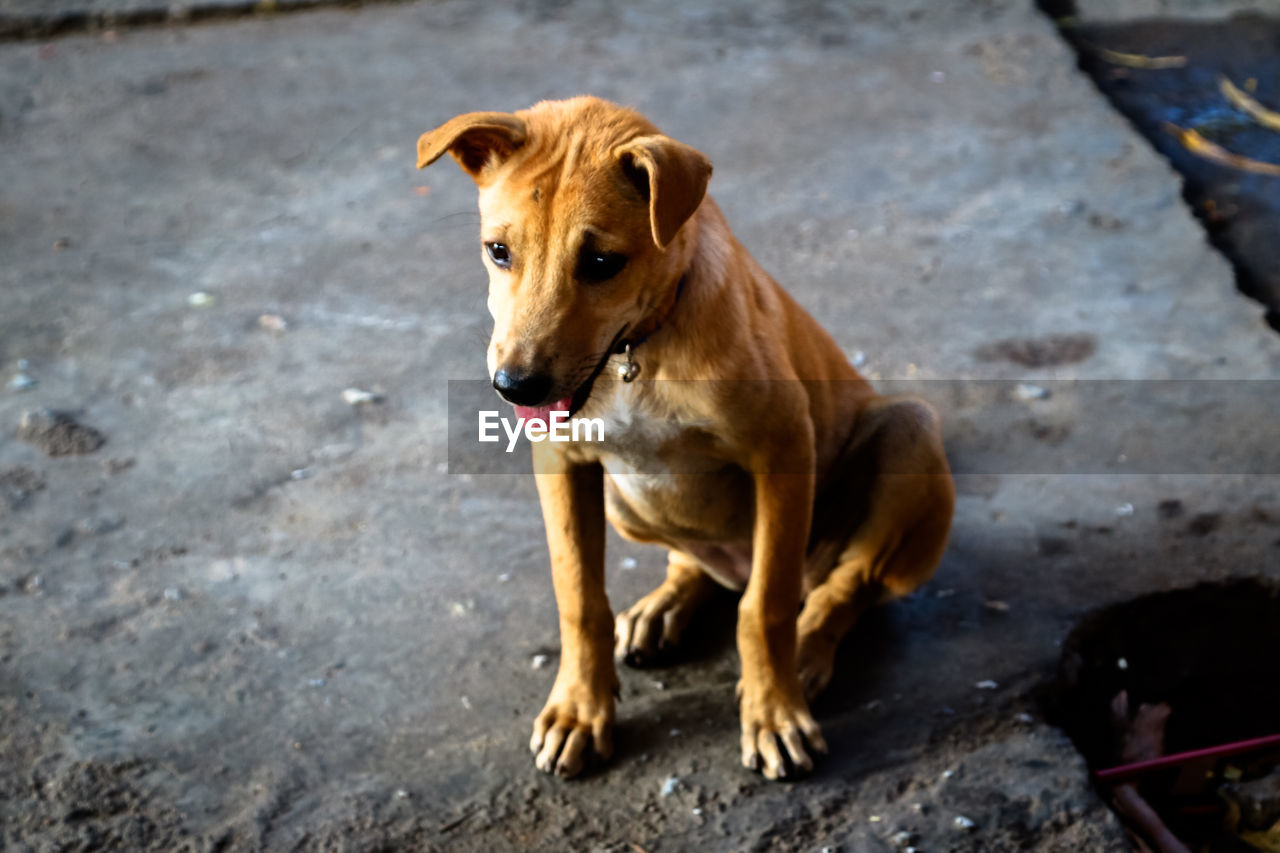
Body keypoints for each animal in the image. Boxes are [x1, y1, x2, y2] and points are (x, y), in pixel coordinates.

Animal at [417, 94, 952, 778]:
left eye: (601, 262)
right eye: (498, 250)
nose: (515, 388)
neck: (637, 351)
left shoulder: (784, 448)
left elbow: (765, 606)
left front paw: (774, 712)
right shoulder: (562, 460)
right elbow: (579, 596)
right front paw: (580, 710)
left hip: (908, 435)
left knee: (843, 585)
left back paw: (807, 651)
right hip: (626, 503)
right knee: (695, 557)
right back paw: (665, 606)